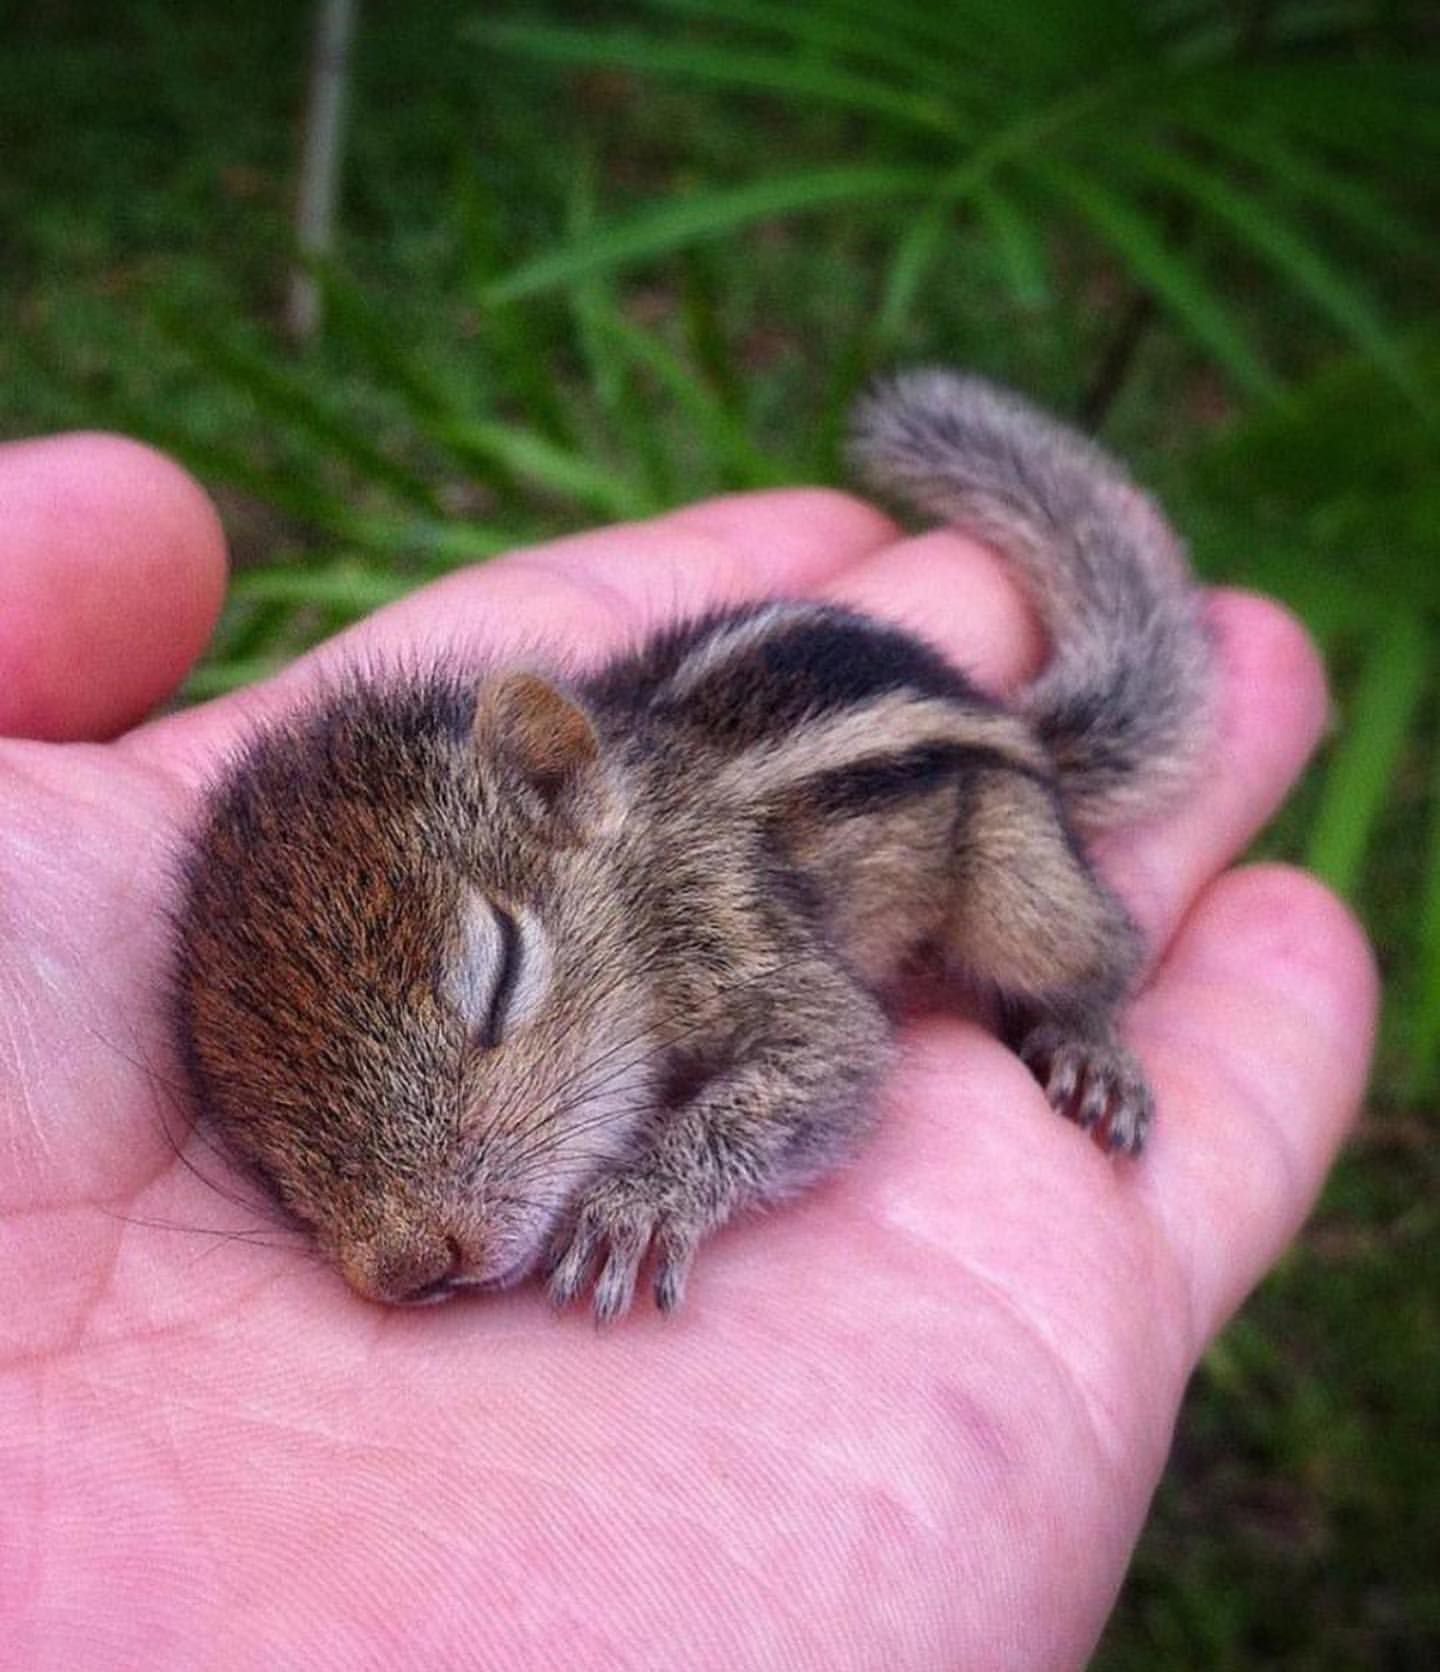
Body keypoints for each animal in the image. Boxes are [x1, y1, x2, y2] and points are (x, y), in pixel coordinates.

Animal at [177, 372, 1210, 1324]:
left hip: (1016, 875)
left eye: (502, 977)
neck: (642, 861)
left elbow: (832, 1059)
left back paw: (1091, 1046)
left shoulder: (741, 938)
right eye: (252, 1135)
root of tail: (1013, 720)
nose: (409, 1266)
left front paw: (638, 1204)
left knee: (1101, 948)